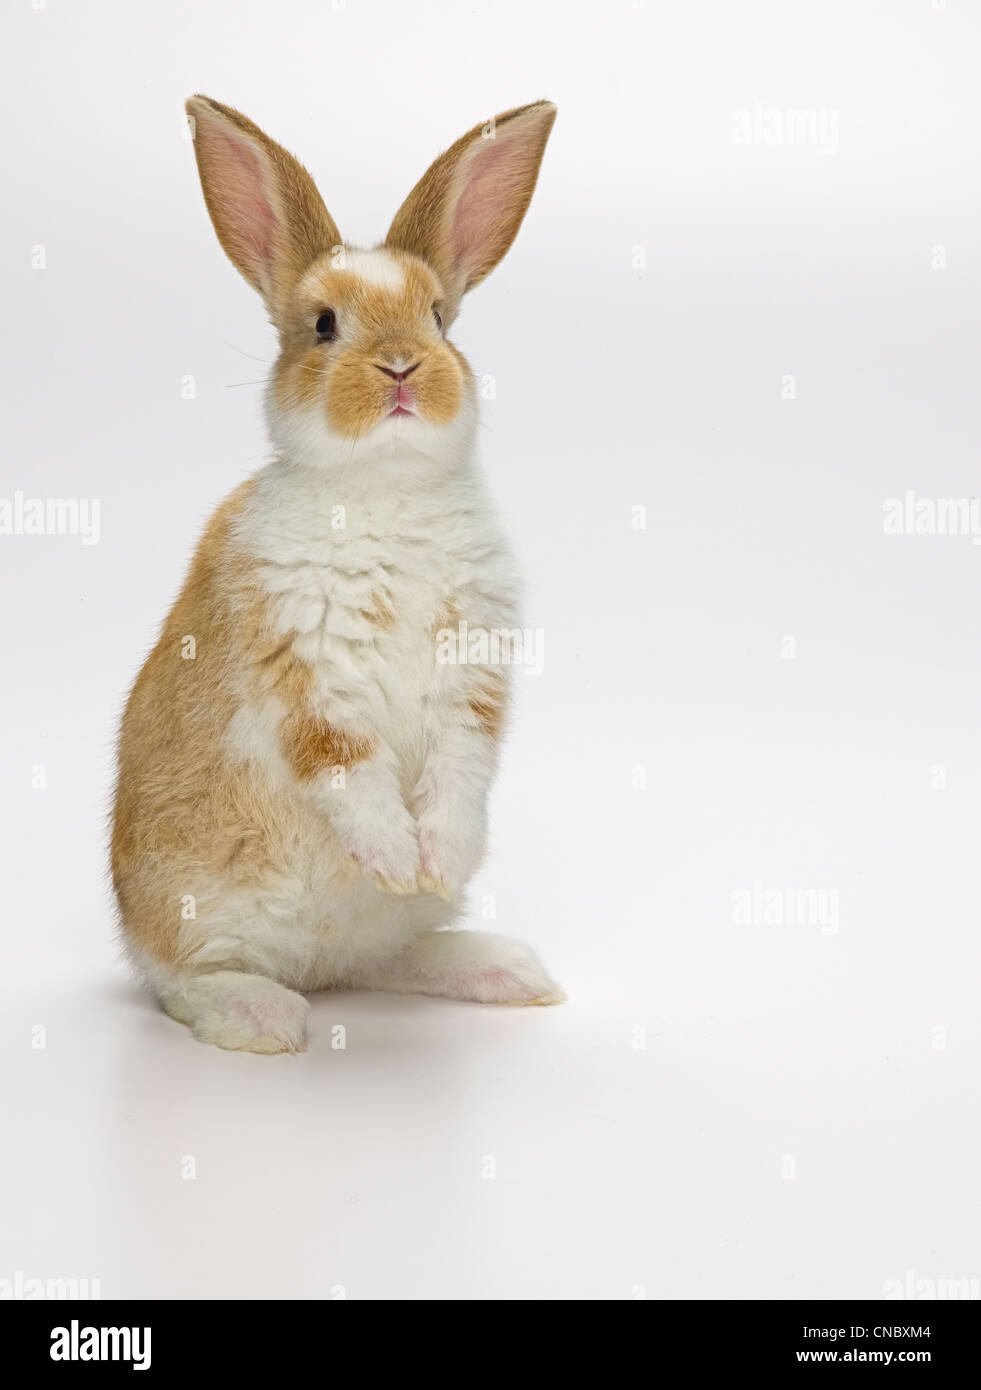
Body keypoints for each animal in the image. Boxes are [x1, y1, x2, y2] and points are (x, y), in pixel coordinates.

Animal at [109, 95, 558, 1050]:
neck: (383, 487)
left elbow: (461, 768)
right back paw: (267, 1017)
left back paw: (502, 966)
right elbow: (346, 766)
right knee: (182, 982)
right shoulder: (305, 670)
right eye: (323, 326)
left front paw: (435, 858)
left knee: (382, 961)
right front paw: (392, 851)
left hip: (376, 941)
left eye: (439, 319)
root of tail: (314, 963)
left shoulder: (472, 676)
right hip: (196, 912)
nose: (401, 368)